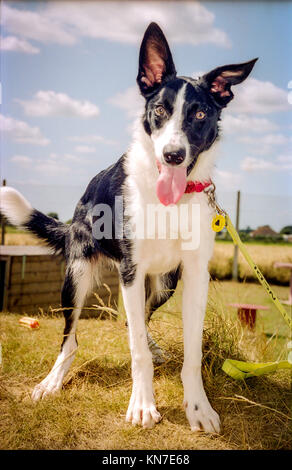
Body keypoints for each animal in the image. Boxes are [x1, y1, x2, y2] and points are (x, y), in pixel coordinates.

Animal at [0, 23, 256, 434]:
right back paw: (52, 381)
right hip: (78, 276)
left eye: (201, 113)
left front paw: (198, 407)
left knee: (141, 320)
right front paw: (142, 404)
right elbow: (135, 351)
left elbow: (191, 351)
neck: (170, 200)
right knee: (71, 339)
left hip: (165, 282)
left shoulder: (195, 274)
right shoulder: (131, 271)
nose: (172, 155)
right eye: (160, 110)